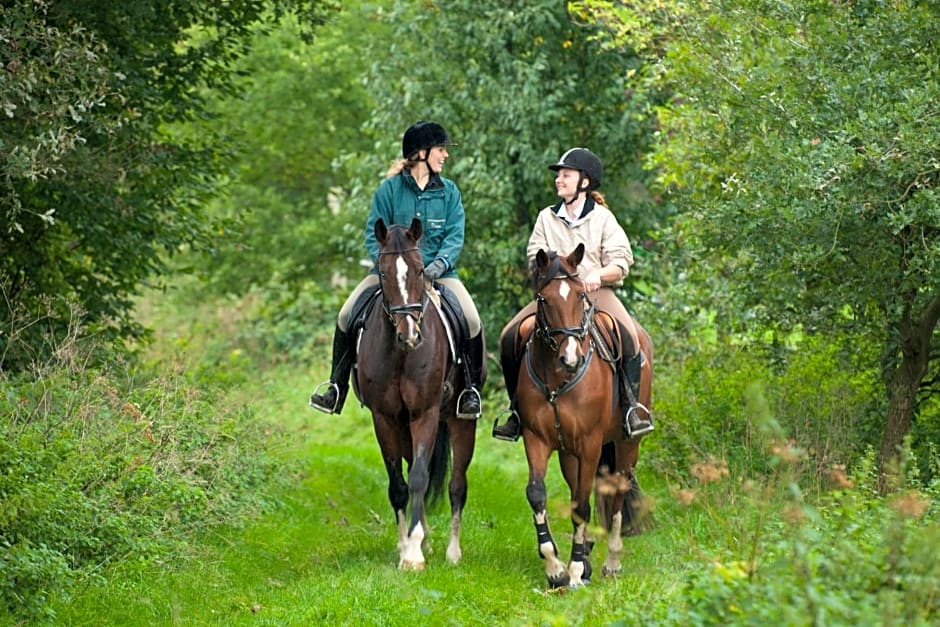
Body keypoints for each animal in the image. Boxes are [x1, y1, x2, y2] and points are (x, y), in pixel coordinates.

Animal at [356, 218, 482, 572]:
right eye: (384, 272)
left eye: (419, 269)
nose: (409, 335)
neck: (401, 354)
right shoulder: (385, 418)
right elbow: (399, 484)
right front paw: (406, 546)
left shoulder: (425, 413)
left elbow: (419, 478)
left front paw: (413, 553)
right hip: (404, 427)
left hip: (460, 422)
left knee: (456, 485)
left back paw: (453, 552)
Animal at [516, 245, 652, 588]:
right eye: (544, 299)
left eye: (580, 295)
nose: (571, 359)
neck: (557, 379)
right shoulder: (536, 439)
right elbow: (538, 493)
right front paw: (555, 567)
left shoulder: (591, 443)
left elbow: (582, 502)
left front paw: (576, 569)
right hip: (570, 452)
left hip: (626, 444)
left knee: (616, 493)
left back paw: (612, 561)